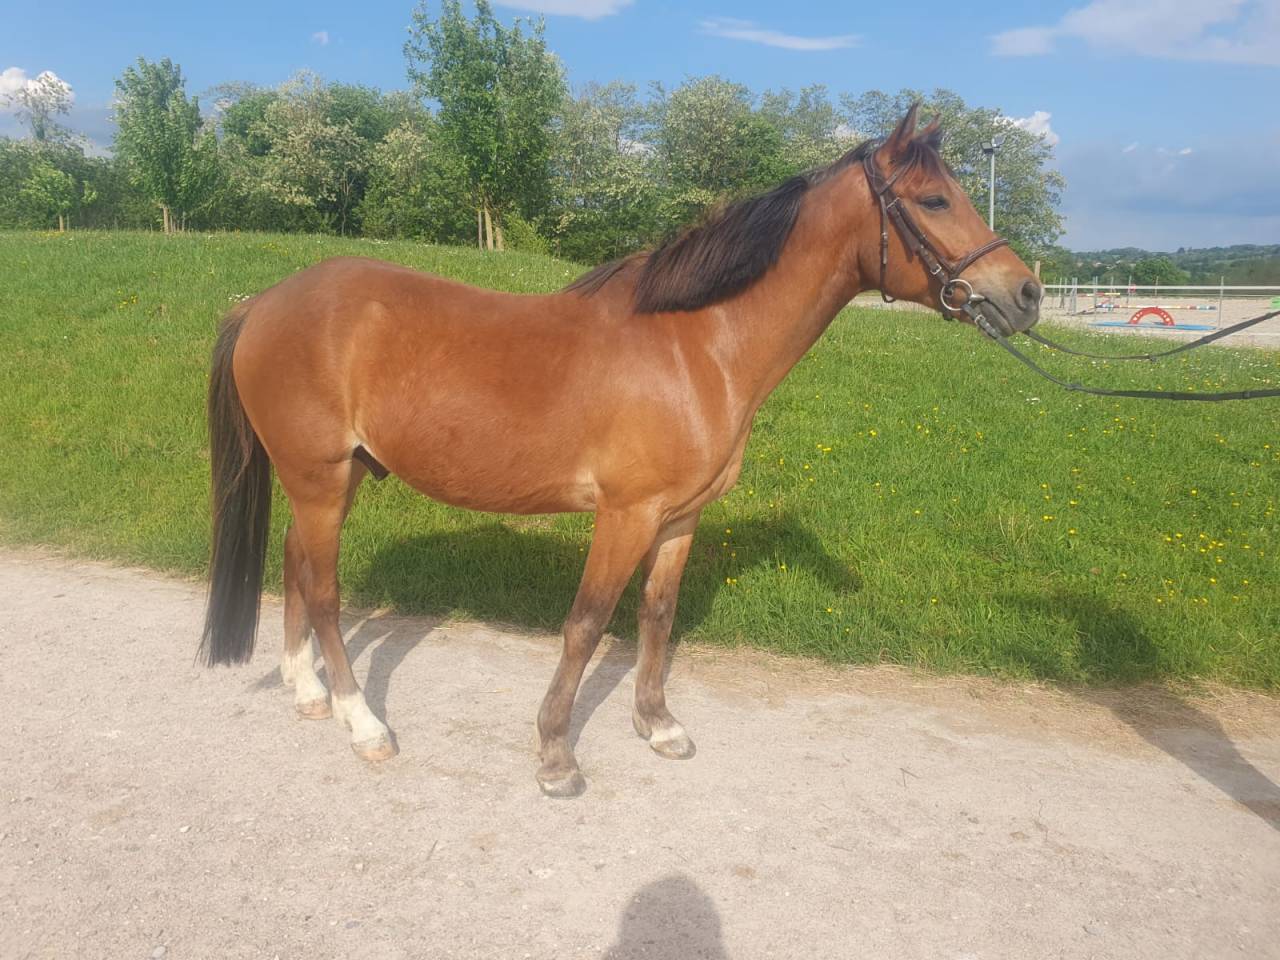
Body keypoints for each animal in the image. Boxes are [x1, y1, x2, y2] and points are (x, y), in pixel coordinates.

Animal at [200, 105, 1041, 797]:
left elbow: (656, 616)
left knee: (295, 564)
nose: (1027, 293)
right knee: (325, 590)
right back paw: (363, 723)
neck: (697, 346)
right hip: (319, 479)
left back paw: (306, 690)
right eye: (934, 200)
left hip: (331, 480)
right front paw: (554, 755)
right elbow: (587, 621)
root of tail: (261, 304)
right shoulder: (626, 514)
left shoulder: (679, 519)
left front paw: (658, 725)